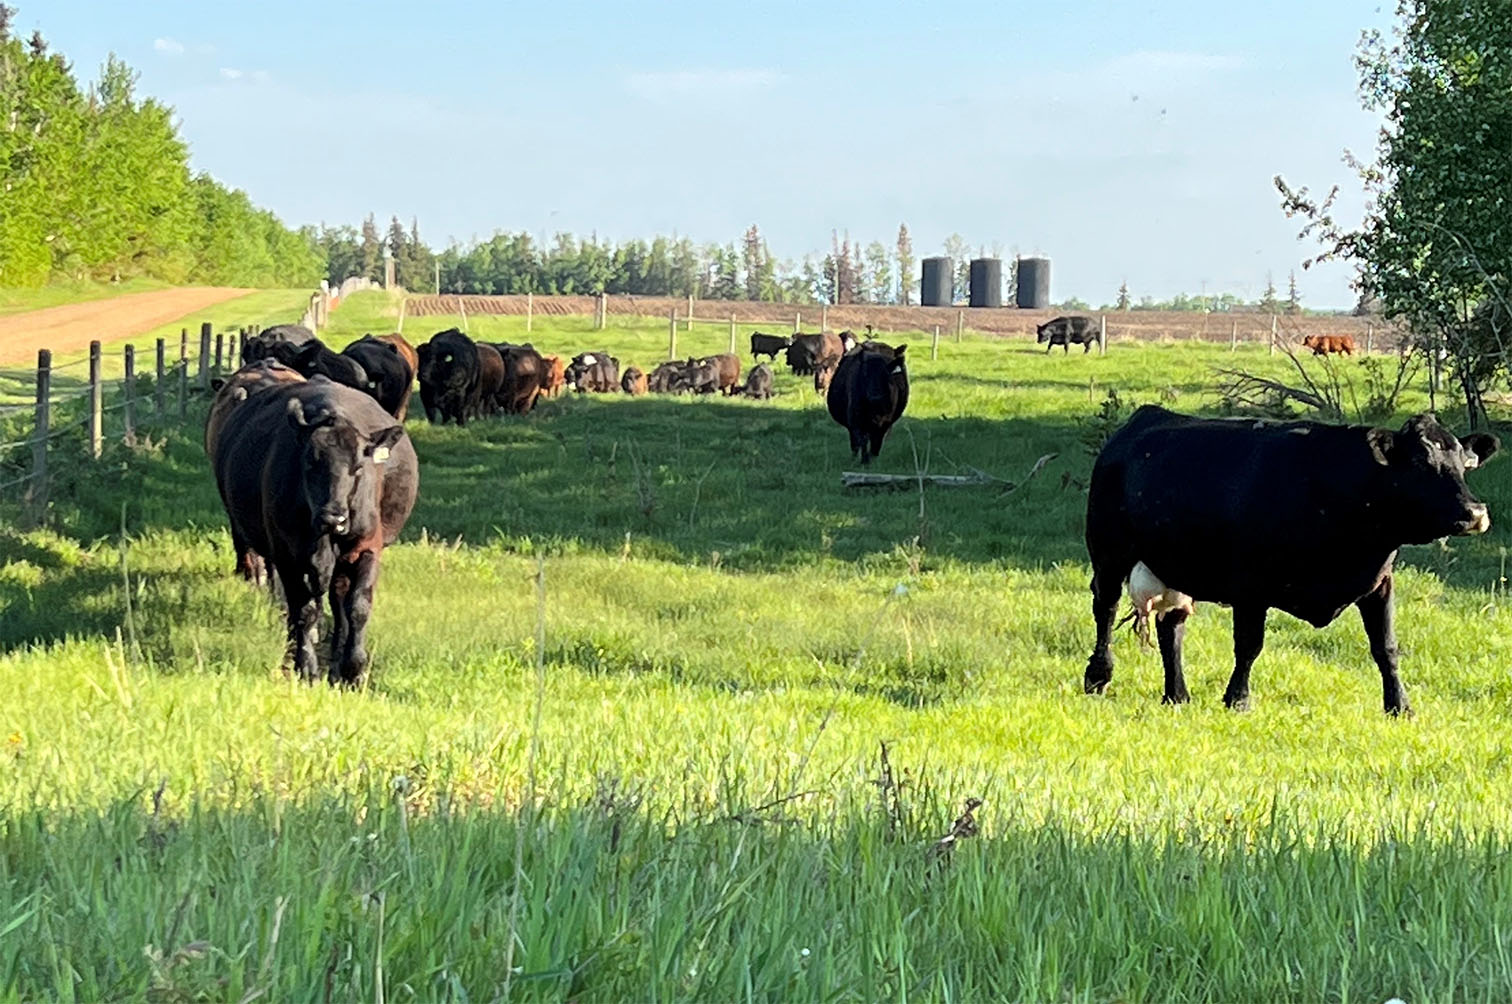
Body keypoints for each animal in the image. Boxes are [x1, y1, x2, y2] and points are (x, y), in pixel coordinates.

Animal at [210, 381, 417, 686]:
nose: (334, 517)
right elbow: (303, 610)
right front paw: (305, 665)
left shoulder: (367, 547)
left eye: (358, 468)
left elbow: (358, 607)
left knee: (338, 599)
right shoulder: (287, 556)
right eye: (309, 463)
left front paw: (354, 668)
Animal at [1088, 405, 1499, 713]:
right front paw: (1238, 699)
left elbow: (1386, 647)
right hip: (1109, 553)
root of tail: (1144, 418)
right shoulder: (1250, 585)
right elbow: (1249, 645)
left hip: (1174, 565)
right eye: (1419, 462)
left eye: (1463, 464)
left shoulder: (1379, 582)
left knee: (1171, 627)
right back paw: (1098, 677)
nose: (1474, 512)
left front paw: (1400, 706)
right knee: (1105, 609)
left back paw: (1177, 695)